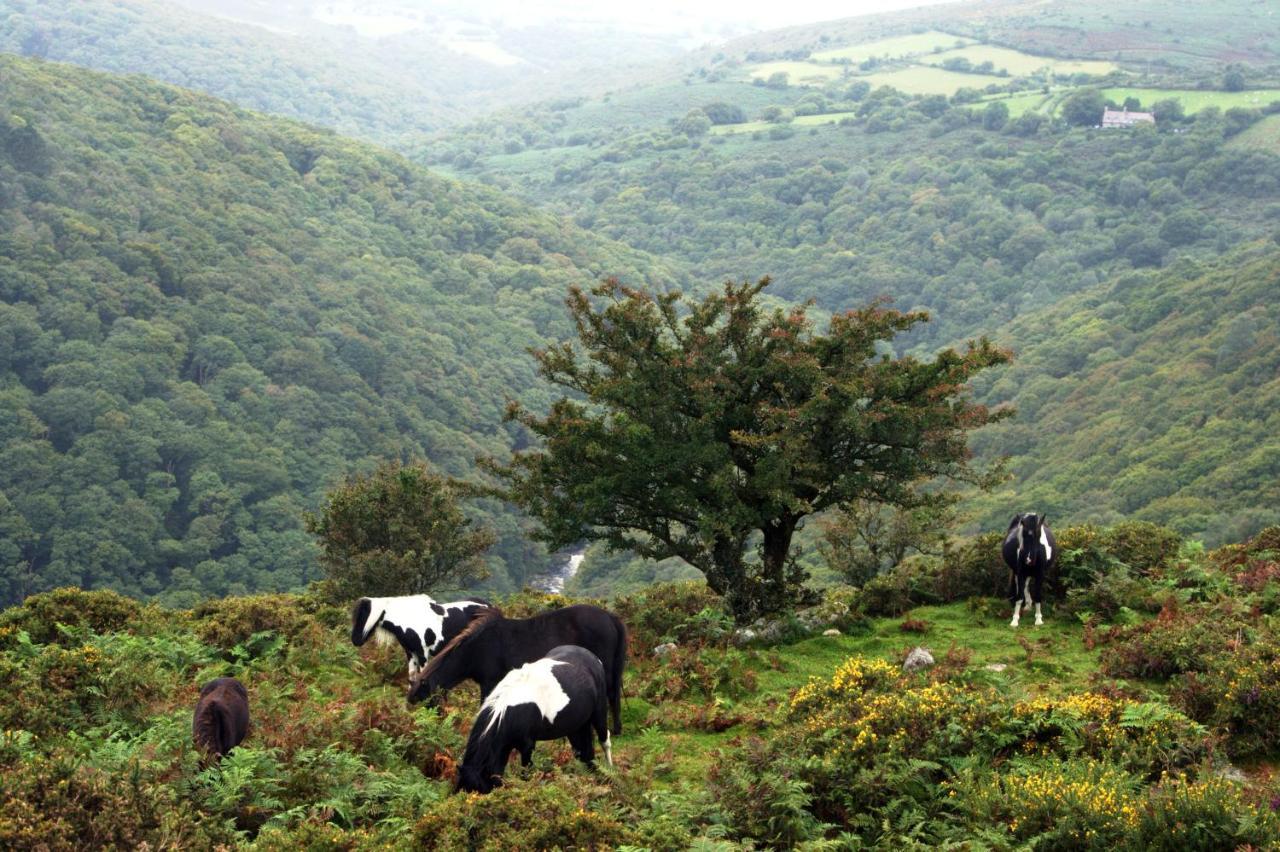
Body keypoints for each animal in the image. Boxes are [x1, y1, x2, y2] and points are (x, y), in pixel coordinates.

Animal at [350, 591, 488, 675]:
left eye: (363, 616)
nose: (355, 640)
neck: (411, 620)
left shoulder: (423, 654)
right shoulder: (410, 653)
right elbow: (412, 677)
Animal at [407, 601, 627, 731]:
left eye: (427, 702)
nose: (430, 726)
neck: (476, 647)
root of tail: (611, 618)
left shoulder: (489, 682)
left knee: (611, 694)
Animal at [453, 644, 611, 788]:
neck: (505, 710)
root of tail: (591, 656)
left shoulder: (527, 745)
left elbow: (526, 772)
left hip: (599, 714)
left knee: (604, 741)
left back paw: (610, 771)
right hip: (575, 727)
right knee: (583, 752)